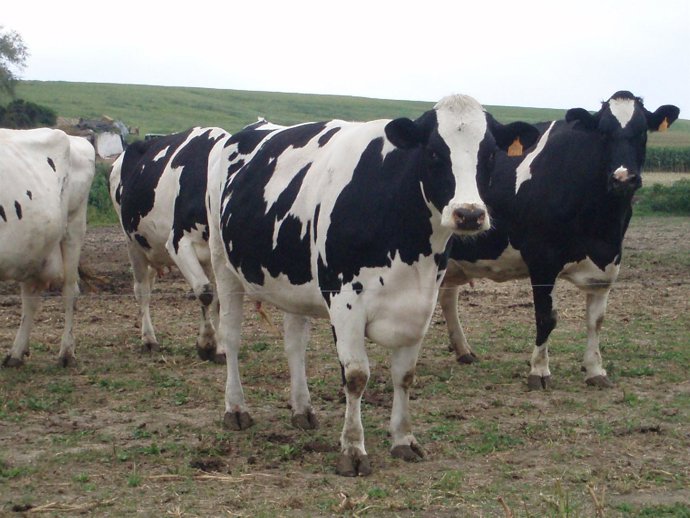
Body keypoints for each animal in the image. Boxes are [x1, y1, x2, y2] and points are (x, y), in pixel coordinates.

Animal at [1, 128, 95, 367]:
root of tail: (75, 138)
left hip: (73, 228)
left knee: (70, 290)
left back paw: (66, 353)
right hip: (32, 247)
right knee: (30, 297)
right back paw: (16, 353)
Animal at [109, 127, 230, 362]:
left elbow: (219, 299)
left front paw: (219, 348)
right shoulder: (178, 243)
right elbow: (205, 292)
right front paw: (206, 343)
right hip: (132, 243)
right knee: (141, 290)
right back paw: (148, 339)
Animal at [206, 95, 540, 476]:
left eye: (490, 154)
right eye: (434, 152)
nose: (469, 214)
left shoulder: (420, 305)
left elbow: (405, 375)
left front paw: (404, 439)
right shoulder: (345, 301)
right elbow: (355, 376)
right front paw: (353, 449)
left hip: (293, 281)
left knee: (295, 345)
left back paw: (302, 409)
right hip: (223, 263)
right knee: (232, 336)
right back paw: (236, 409)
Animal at [439, 91, 680, 390]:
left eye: (642, 131)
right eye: (603, 133)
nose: (623, 178)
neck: (602, 225)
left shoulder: (607, 263)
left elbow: (595, 320)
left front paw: (595, 370)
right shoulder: (542, 258)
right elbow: (546, 317)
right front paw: (539, 371)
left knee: (447, 296)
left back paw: (463, 351)